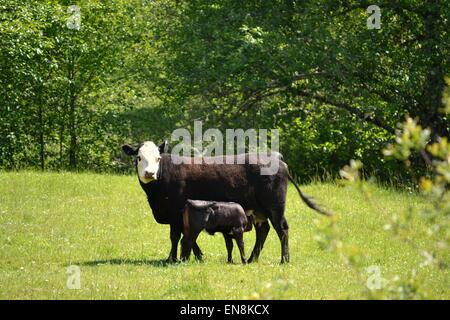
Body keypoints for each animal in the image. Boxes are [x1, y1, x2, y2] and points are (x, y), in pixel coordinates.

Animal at [123, 141, 330, 264]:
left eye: (157, 158)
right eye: (139, 157)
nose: (149, 173)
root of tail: (275, 157)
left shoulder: (175, 212)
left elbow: (175, 236)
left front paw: (172, 259)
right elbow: (187, 235)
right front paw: (197, 256)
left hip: (275, 207)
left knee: (282, 229)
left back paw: (284, 259)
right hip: (259, 211)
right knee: (263, 230)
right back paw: (252, 258)